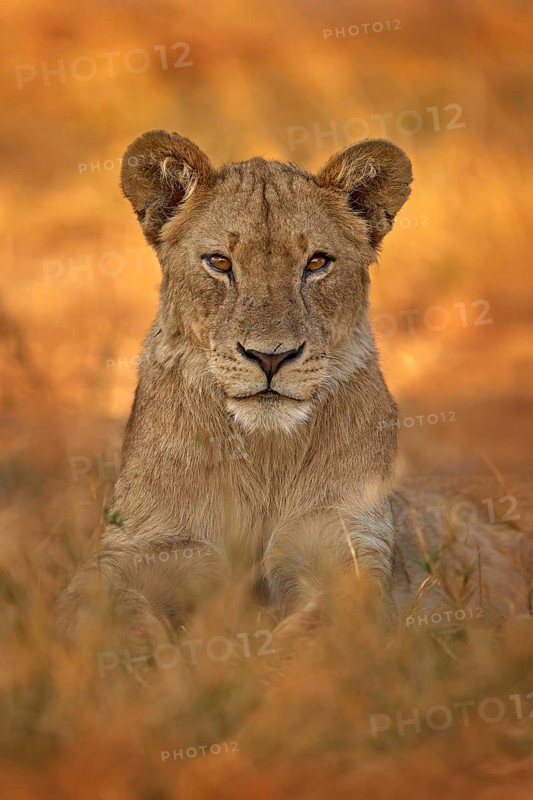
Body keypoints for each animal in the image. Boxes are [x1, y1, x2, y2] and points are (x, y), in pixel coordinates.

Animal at [60, 130, 530, 644]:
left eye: (317, 262)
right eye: (220, 262)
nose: (271, 356)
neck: (266, 454)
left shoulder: (347, 546)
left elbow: (317, 631)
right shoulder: (141, 545)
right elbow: (100, 609)